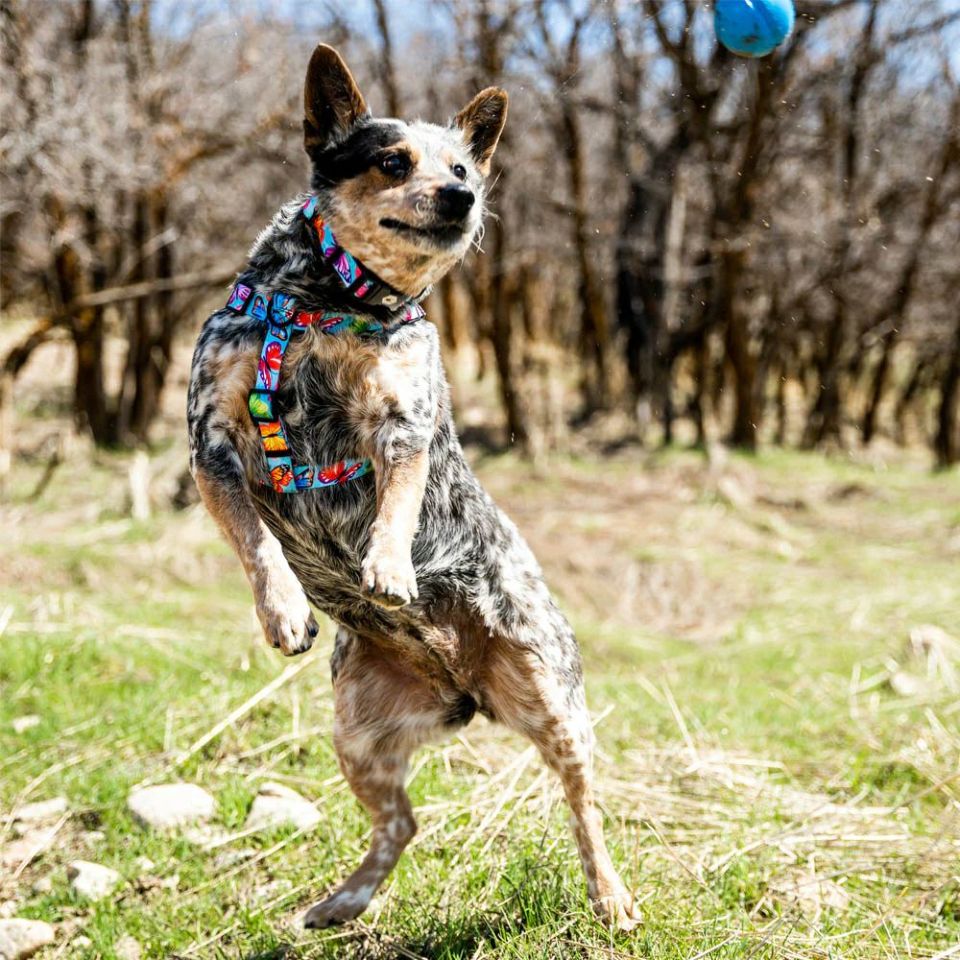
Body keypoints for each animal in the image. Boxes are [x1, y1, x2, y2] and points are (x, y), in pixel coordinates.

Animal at [187, 43, 636, 928]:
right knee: (401, 823)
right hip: (357, 732)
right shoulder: (209, 437)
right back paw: (342, 901)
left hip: (554, 701)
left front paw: (389, 565)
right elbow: (256, 544)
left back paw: (610, 896)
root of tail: (467, 691)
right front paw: (284, 609)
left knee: (585, 804)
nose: (463, 197)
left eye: (462, 166)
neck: (332, 303)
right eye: (392, 161)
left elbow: (394, 502)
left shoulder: (405, 420)